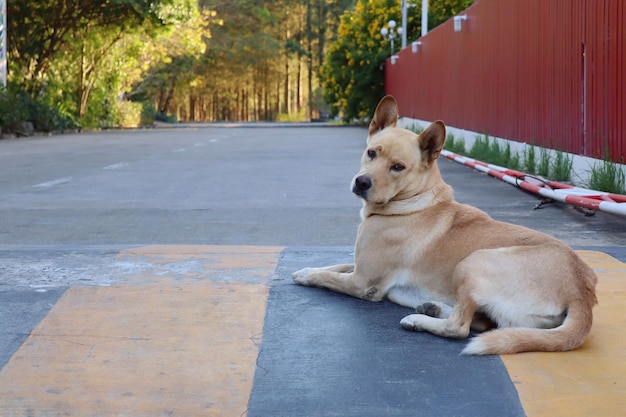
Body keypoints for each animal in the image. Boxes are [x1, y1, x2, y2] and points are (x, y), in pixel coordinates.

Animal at [292, 95, 596, 354]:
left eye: (398, 167)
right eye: (371, 153)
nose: (361, 182)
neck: (412, 202)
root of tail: (582, 291)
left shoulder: (363, 282)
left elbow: (328, 278)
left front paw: (306, 275)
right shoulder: (358, 265)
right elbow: (335, 265)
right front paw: (307, 268)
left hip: (473, 262)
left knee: (460, 328)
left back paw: (419, 320)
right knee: (481, 321)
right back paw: (433, 308)